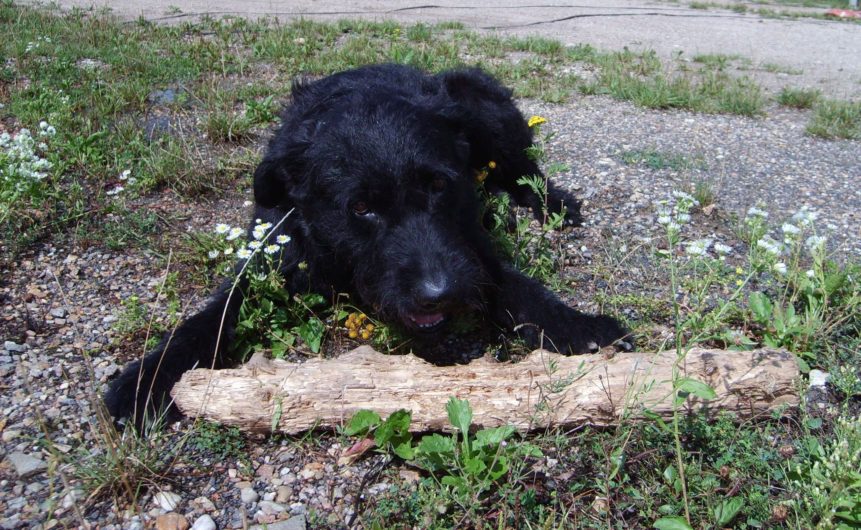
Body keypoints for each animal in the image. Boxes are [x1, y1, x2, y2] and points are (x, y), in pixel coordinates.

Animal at [104, 64, 624, 422]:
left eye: (439, 184)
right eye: (360, 208)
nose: (441, 294)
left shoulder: (469, 251)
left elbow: (517, 285)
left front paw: (580, 327)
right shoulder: (271, 257)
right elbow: (211, 318)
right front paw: (148, 378)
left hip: (481, 104)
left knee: (523, 169)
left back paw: (553, 203)